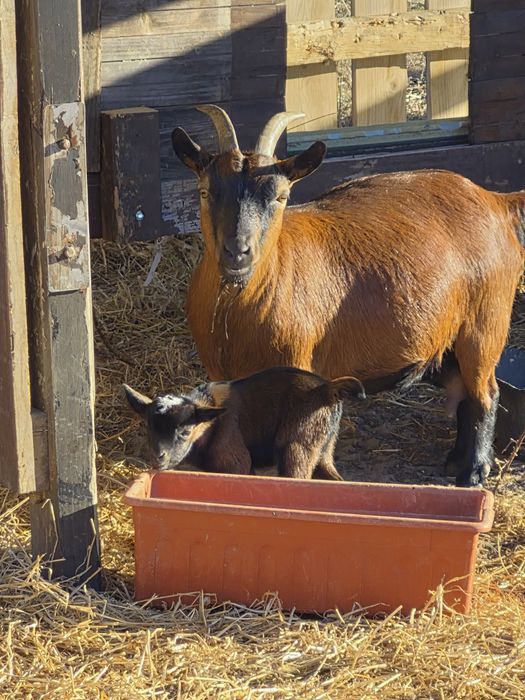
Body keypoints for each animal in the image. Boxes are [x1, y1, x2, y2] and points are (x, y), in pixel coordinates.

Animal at [123, 367, 366, 479]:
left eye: (185, 431)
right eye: (148, 426)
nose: (157, 457)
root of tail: (327, 389)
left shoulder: (236, 462)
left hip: (297, 446)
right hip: (324, 449)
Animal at [171, 104, 525, 487]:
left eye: (281, 197)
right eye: (205, 191)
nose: (238, 252)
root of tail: (496, 202)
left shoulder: (296, 368)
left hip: (485, 323)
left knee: (485, 393)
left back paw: (473, 471)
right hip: (445, 339)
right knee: (461, 389)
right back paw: (455, 459)